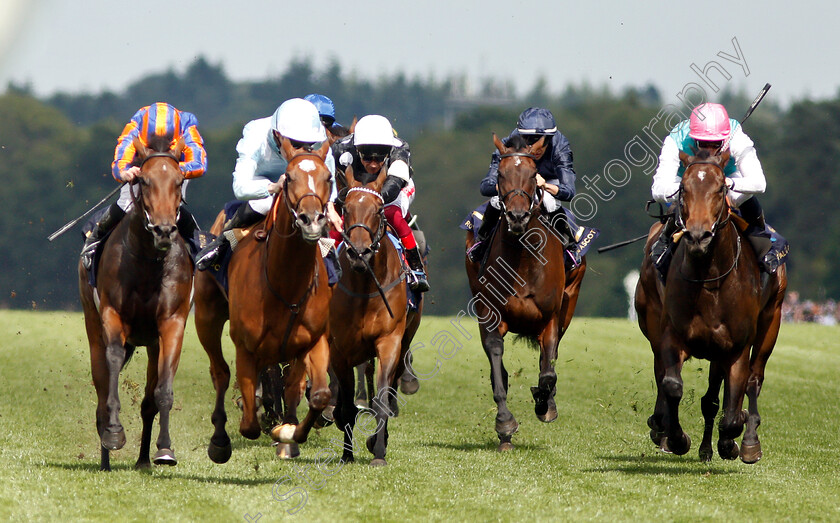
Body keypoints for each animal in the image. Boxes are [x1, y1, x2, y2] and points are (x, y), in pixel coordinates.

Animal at [78, 134, 191, 470]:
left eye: (179, 181)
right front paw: (114, 433)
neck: (148, 261)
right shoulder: (112, 315)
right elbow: (113, 361)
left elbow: (162, 389)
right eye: (143, 179)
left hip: (151, 342)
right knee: (101, 387)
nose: (164, 230)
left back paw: (143, 460)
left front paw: (164, 449)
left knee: (148, 401)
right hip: (92, 325)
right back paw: (105, 455)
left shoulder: (172, 323)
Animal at [192, 136, 334, 462]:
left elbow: (317, 394)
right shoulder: (246, 346)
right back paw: (220, 439)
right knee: (220, 372)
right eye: (289, 178)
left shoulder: (313, 340)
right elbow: (249, 425)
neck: (286, 283)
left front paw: (288, 433)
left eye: (328, 177)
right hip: (206, 316)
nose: (311, 221)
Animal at [328, 165, 420, 466]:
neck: (365, 286)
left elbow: (381, 398)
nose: (359, 253)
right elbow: (346, 406)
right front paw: (346, 455)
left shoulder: (389, 341)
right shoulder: (340, 350)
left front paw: (378, 450)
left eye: (379, 209)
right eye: (345, 209)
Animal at [462, 133, 588, 452]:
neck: (522, 259)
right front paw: (505, 425)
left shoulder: (550, 317)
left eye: (533, 175)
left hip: (569, 303)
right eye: (501, 174)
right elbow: (497, 363)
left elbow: (548, 372)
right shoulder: (490, 313)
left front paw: (544, 405)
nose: (517, 216)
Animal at [636, 148, 788, 462]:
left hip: (772, 319)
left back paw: (748, 441)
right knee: (670, 376)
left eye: (720, 189)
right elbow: (671, 384)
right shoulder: (672, 335)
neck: (710, 280)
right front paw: (676, 437)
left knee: (754, 378)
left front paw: (732, 439)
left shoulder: (737, 347)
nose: (698, 236)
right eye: (683, 188)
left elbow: (732, 408)